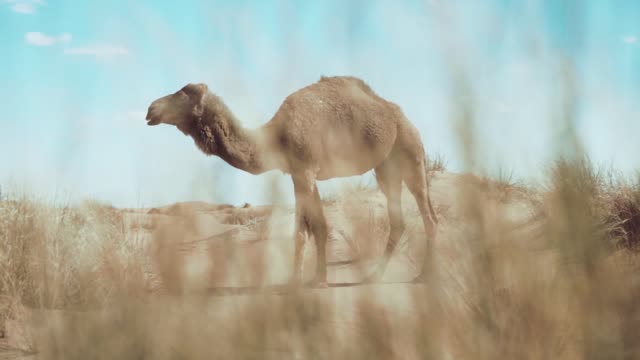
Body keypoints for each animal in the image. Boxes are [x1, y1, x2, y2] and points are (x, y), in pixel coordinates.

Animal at [145, 76, 438, 286]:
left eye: (183, 92)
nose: (150, 109)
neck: (275, 137)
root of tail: (401, 115)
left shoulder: (304, 171)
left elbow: (300, 231)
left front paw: (298, 281)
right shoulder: (302, 173)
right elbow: (318, 226)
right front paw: (317, 278)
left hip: (409, 151)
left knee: (427, 213)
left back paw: (424, 276)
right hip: (385, 168)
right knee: (398, 218)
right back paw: (374, 276)